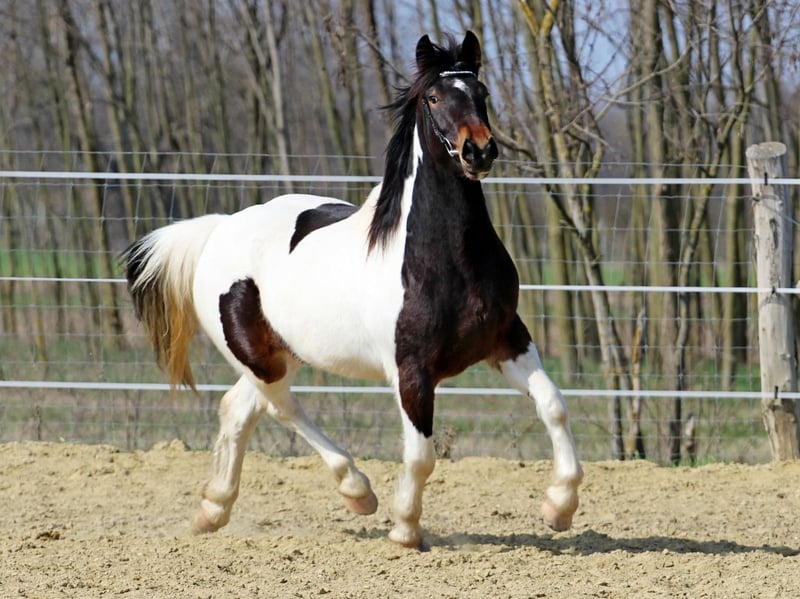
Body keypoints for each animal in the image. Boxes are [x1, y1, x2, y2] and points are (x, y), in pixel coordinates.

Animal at [123, 31, 583, 549]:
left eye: (481, 92)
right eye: (434, 97)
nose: (478, 152)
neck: (445, 260)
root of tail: (218, 229)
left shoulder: (507, 341)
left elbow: (554, 406)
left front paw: (559, 507)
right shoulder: (411, 370)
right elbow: (421, 455)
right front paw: (405, 529)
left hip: (285, 352)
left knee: (238, 409)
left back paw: (213, 510)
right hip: (260, 358)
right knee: (281, 408)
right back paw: (356, 492)